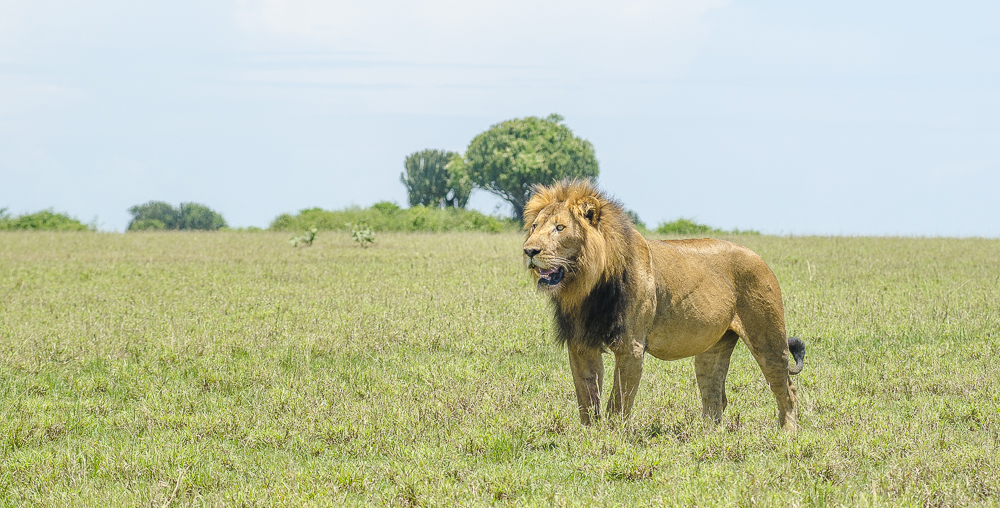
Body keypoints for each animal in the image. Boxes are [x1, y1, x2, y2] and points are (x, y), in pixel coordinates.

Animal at [522, 180, 806, 430]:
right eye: (534, 226)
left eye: (560, 228)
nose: (529, 251)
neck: (587, 286)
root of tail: (760, 258)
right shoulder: (581, 345)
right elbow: (587, 399)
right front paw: (589, 437)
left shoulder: (631, 347)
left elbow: (618, 403)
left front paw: (612, 440)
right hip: (714, 347)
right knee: (715, 396)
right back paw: (707, 437)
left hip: (767, 337)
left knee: (786, 387)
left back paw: (788, 433)